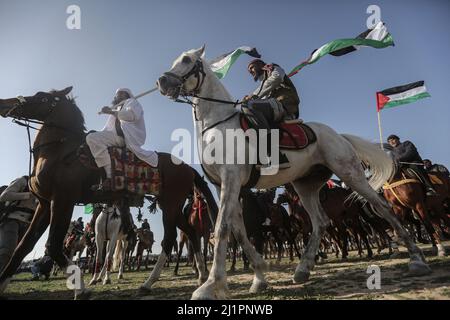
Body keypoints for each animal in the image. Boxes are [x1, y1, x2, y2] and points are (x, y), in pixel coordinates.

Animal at [0, 87, 218, 298]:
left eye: (42, 97)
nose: (6, 104)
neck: (60, 151)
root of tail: (188, 168)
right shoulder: (45, 204)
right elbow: (23, 247)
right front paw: (3, 282)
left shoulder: (63, 200)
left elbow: (52, 246)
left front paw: (81, 288)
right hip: (170, 205)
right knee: (190, 232)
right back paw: (201, 275)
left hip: (171, 204)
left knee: (169, 239)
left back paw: (148, 283)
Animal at [156, 45, 430, 300]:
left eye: (187, 60)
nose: (162, 81)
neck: (217, 123)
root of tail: (338, 136)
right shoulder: (223, 185)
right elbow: (238, 230)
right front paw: (258, 277)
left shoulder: (231, 180)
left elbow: (223, 227)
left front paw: (210, 285)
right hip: (305, 186)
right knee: (320, 222)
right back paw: (302, 269)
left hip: (350, 174)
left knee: (383, 208)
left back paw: (416, 259)